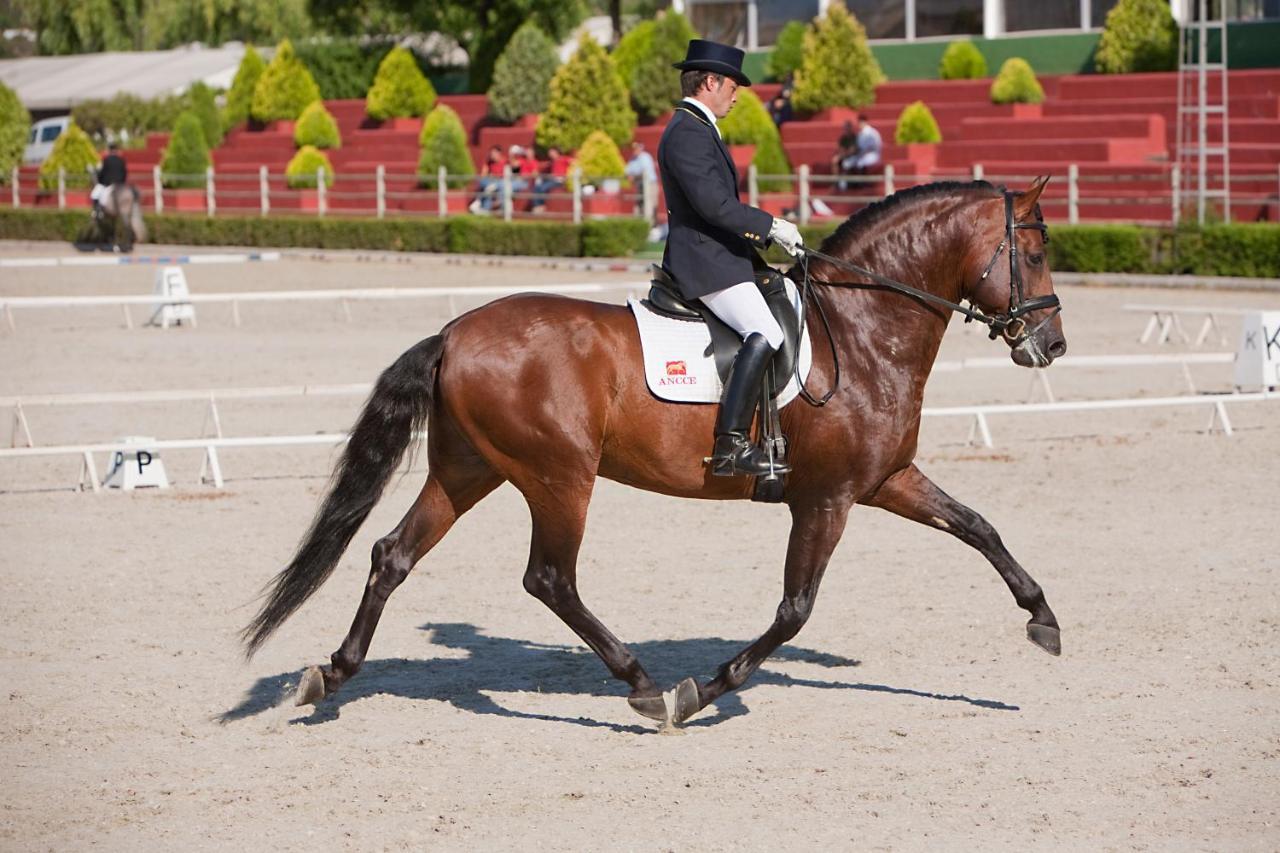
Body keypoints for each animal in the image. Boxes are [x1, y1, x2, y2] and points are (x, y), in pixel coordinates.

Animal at [240, 178, 1070, 722]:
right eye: (1032, 249)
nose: (1052, 344)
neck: (862, 331)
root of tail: (453, 332)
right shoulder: (827, 498)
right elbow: (794, 609)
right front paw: (702, 689)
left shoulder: (886, 477)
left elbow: (979, 526)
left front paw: (1043, 618)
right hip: (559, 476)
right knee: (549, 578)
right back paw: (641, 682)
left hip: (468, 471)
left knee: (393, 554)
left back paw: (331, 674)